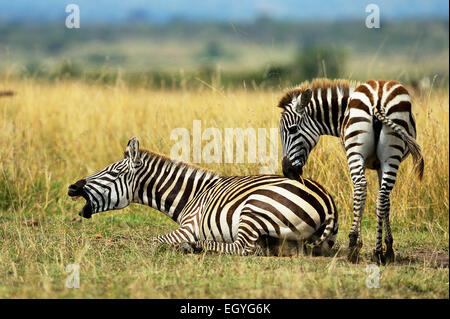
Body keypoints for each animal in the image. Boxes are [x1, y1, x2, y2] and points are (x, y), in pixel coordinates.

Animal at [68, 136, 338, 256]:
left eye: (112, 173)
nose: (72, 187)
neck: (192, 196)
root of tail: (327, 201)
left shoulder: (190, 226)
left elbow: (155, 241)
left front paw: (185, 245)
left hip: (254, 208)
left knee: (243, 248)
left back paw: (199, 245)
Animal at [280, 79, 424, 264]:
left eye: (292, 129)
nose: (287, 171)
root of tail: (378, 99)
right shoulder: (379, 165)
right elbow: (385, 202)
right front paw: (388, 248)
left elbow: (367, 199)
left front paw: (365, 244)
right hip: (389, 155)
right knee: (378, 195)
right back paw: (377, 252)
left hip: (358, 151)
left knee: (360, 188)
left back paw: (354, 247)